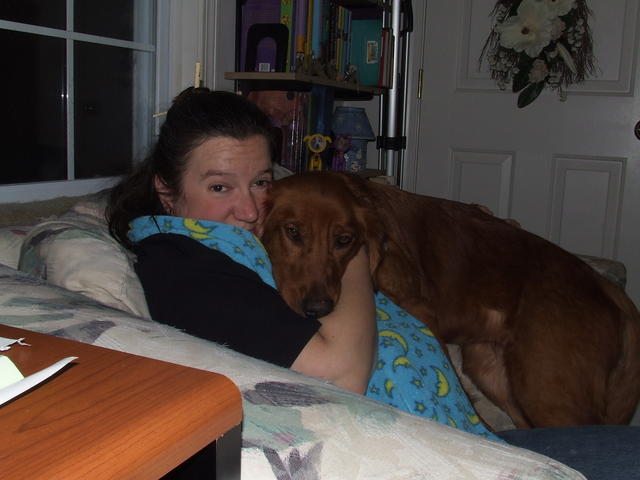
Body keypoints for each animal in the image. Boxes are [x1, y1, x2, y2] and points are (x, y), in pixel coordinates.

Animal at [261, 170, 640, 429]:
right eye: (292, 232)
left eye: (344, 240)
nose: (318, 309)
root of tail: (603, 283)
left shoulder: (422, 310)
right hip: (491, 369)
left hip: (546, 387)